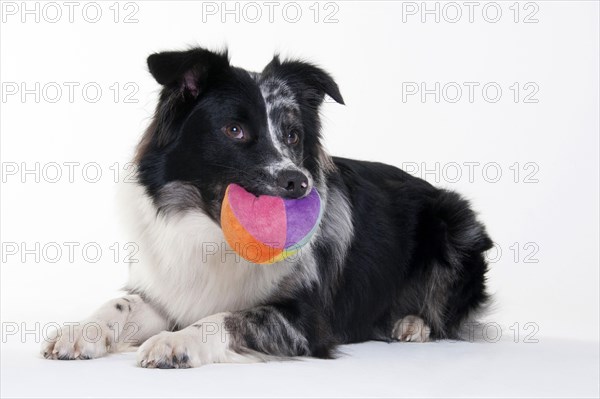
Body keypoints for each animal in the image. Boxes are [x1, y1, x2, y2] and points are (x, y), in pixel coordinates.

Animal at [41, 47, 492, 368]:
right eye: (234, 130)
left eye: (293, 136)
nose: (299, 182)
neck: (214, 237)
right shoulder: (169, 290)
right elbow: (121, 304)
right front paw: (81, 332)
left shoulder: (306, 319)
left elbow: (228, 318)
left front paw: (175, 341)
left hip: (455, 225)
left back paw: (412, 323)